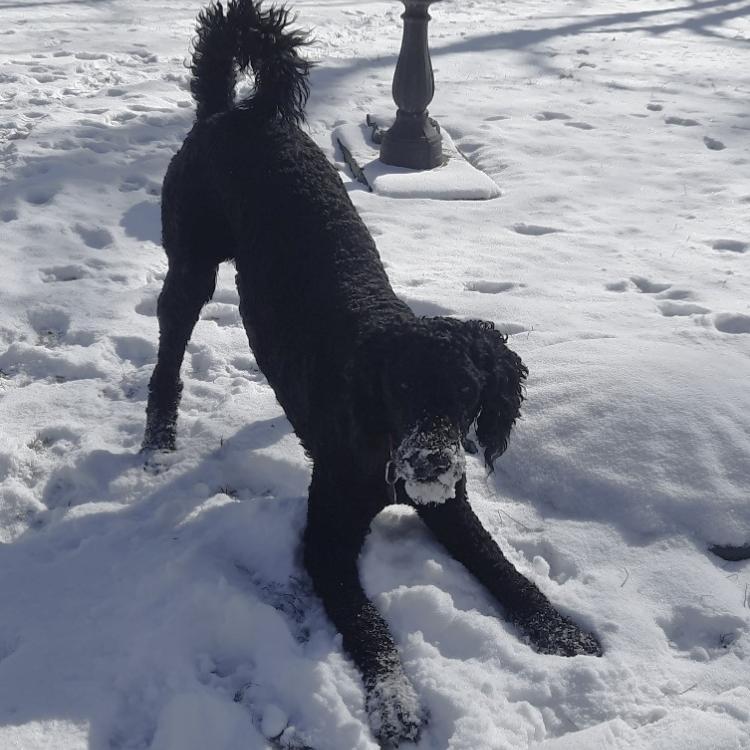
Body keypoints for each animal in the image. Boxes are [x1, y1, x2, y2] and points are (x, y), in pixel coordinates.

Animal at [142, 2, 604, 748]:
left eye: (469, 395)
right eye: (404, 388)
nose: (431, 462)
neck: (381, 439)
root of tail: (232, 111)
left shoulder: (452, 509)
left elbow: (506, 572)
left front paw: (560, 630)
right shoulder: (326, 542)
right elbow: (369, 627)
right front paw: (398, 703)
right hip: (190, 265)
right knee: (167, 359)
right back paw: (157, 441)